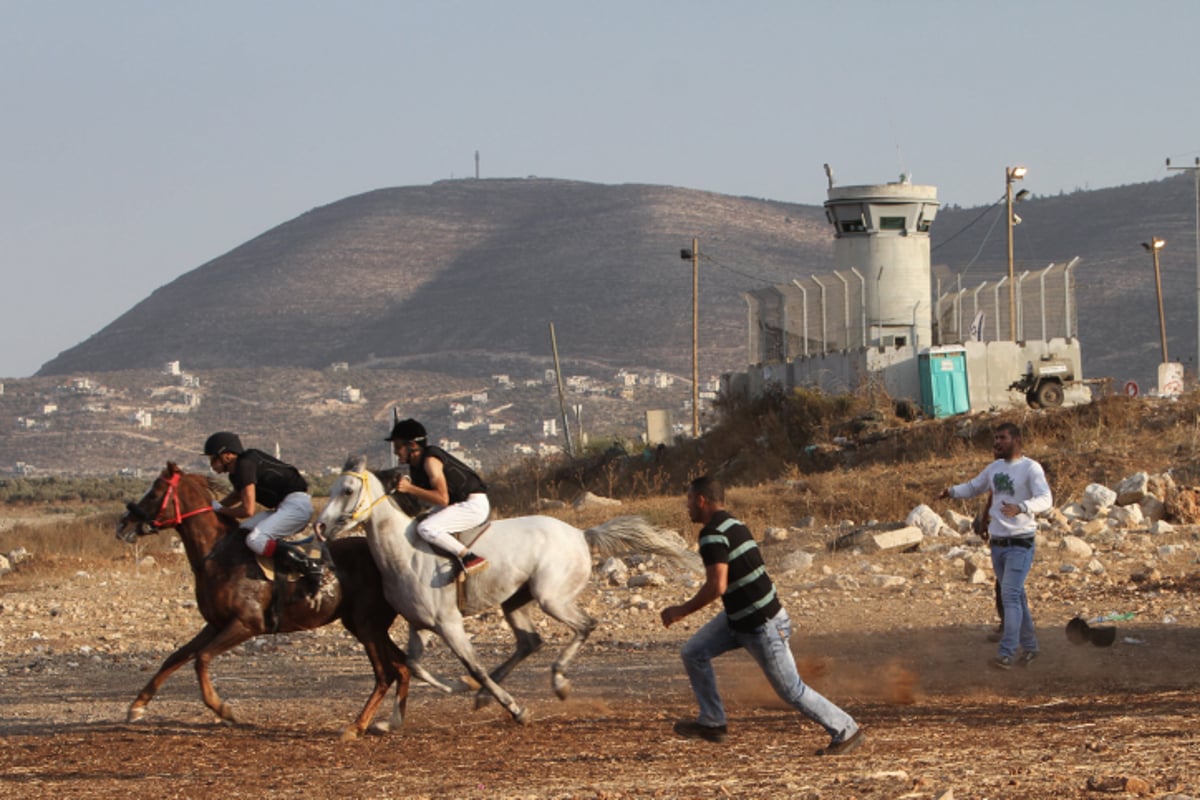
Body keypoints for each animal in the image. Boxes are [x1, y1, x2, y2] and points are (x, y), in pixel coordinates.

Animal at [116, 462, 410, 743]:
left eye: (154, 493)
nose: (123, 526)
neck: (217, 555)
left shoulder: (247, 624)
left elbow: (201, 658)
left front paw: (223, 709)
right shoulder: (215, 624)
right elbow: (176, 657)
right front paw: (137, 706)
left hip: (366, 624)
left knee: (385, 673)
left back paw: (356, 727)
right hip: (365, 626)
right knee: (402, 665)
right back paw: (390, 722)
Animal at [314, 455, 700, 724]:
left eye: (347, 491)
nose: (320, 527)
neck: (404, 555)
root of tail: (581, 533)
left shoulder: (450, 625)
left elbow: (474, 667)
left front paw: (515, 708)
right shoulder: (420, 625)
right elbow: (414, 665)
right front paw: (396, 720)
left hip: (551, 597)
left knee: (584, 626)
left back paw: (558, 683)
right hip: (515, 601)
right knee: (530, 641)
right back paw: (488, 695)